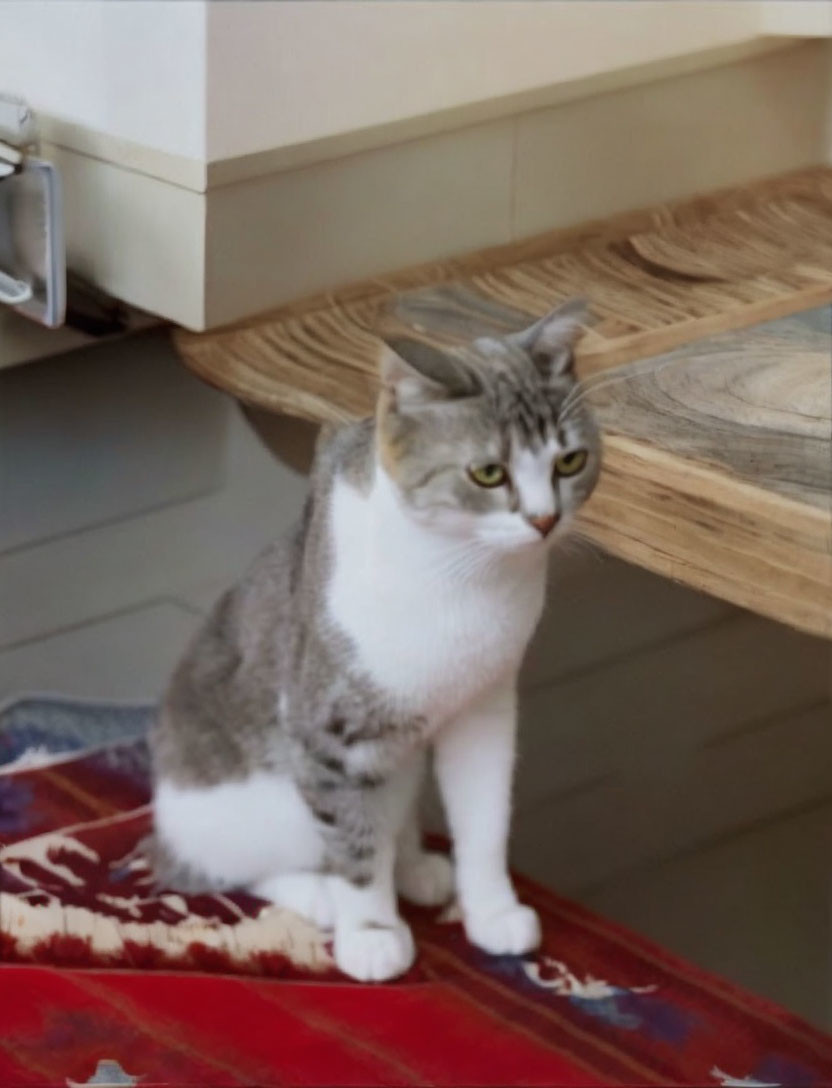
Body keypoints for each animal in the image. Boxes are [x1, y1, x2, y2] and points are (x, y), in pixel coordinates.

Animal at [148, 300, 600, 987]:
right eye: (488, 473)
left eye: (569, 463)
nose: (545, 520)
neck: (462, 575)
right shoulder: (327, 731)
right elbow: (353, 841)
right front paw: (371, 932)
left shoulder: (486, 708)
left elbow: (486, 819)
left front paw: (492, 911)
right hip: (250, 805)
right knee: (225, 866)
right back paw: (320, 894)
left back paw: (416, 865)